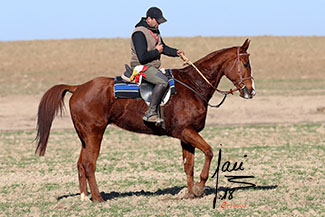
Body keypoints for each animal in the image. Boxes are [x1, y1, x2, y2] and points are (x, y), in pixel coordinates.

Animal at [34, 38, 253, 202]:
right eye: (245, 64)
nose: (251, 91)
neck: (193, 85)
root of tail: (78, 87)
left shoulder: (186, 135)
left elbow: (188, 165)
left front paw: (189, 193)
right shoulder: (185, 131)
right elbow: (208, 152)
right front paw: (199, 187)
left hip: (84, 137)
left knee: (81, 163)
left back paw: (84, 196)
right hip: (94, 134)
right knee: (89, 164)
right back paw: (98, 198)